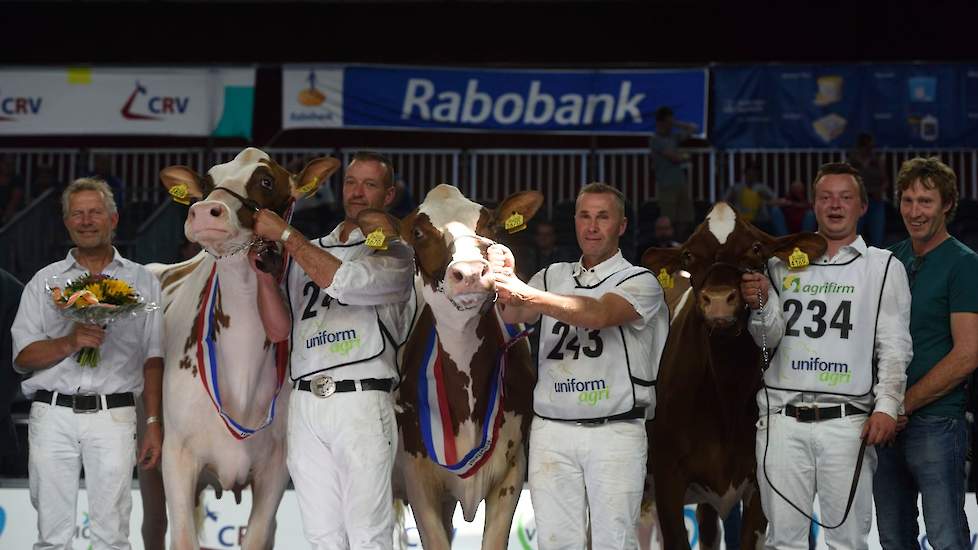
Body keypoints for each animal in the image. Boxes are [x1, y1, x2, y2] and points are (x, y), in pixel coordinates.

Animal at [151, 148, 338, 550]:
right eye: (207, 181)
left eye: (266, 180)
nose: (205, 211)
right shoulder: (176, 455)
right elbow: (183, 538)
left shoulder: (277, 466)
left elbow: (257, 536)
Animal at [640, 204, 824, 550]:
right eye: (688, 255)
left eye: (756, 248)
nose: (718, 300)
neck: (727, 392)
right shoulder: (667, 480)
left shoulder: (761, 480)